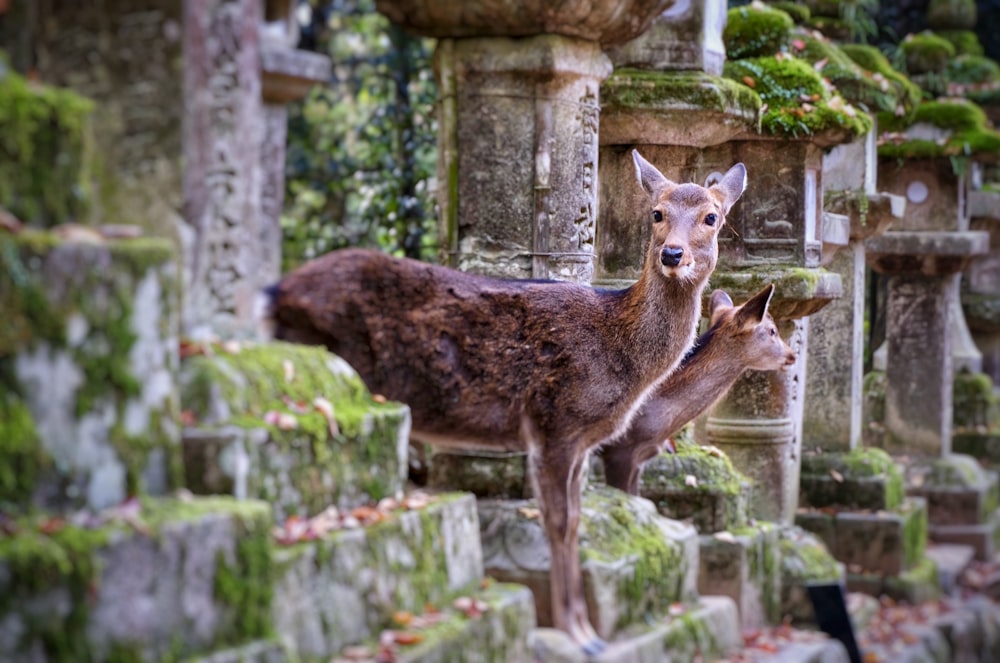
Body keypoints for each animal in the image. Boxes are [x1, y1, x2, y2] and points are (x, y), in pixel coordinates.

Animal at [262, 152, 748, 652]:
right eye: (657, 213)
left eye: (712, 216)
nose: (672, 254)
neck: (623, 353)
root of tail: (275, 293)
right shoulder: (554, 423)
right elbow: (558, 523)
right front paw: (577, 634)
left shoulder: (582, 441)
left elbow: (577, 522)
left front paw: (587, 631)